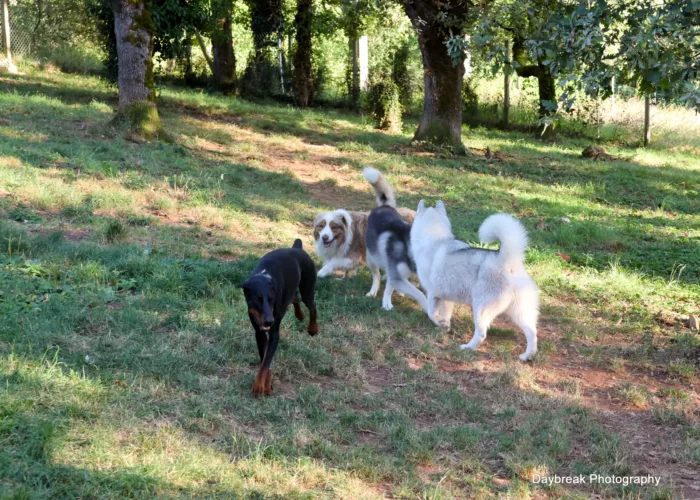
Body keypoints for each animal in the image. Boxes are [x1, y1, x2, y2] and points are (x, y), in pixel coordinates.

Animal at [239, 240, 318, 396]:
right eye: (256, 299)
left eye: (271, 299)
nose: (269, 321)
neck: (264, 277)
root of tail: (297, 248)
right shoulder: (259, 332)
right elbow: (264, 359)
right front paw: (267, 385)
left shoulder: (274, 333)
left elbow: (265, 362)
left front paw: (258, 386)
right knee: (295, 298)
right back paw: (300, 315)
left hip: (307, 287)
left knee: (312, 307)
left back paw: (313, 329)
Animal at [410, 199, 540, 360]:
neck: (435, 238)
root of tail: (506, 260)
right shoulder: (447, 299)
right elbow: (445, 315)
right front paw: (444, 326)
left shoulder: (433, 294)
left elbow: (431, 313)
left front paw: (440, 323)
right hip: (519, 312)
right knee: (532, 333)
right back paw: (527, 356)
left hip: (480, 308)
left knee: (481, 334)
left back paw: (467, 348)